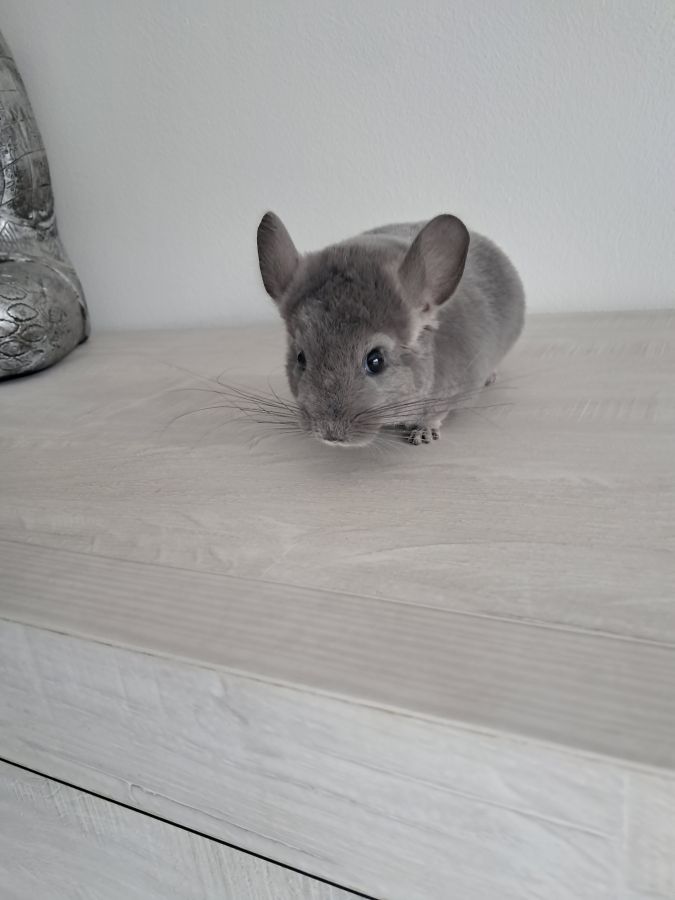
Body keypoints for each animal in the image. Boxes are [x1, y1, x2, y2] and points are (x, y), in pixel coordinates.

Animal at [256, 212, 525, 447]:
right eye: (300, 358)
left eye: (376, 361)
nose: (330, 434)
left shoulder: (453, 389)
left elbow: (435, 414)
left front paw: (422, 433)